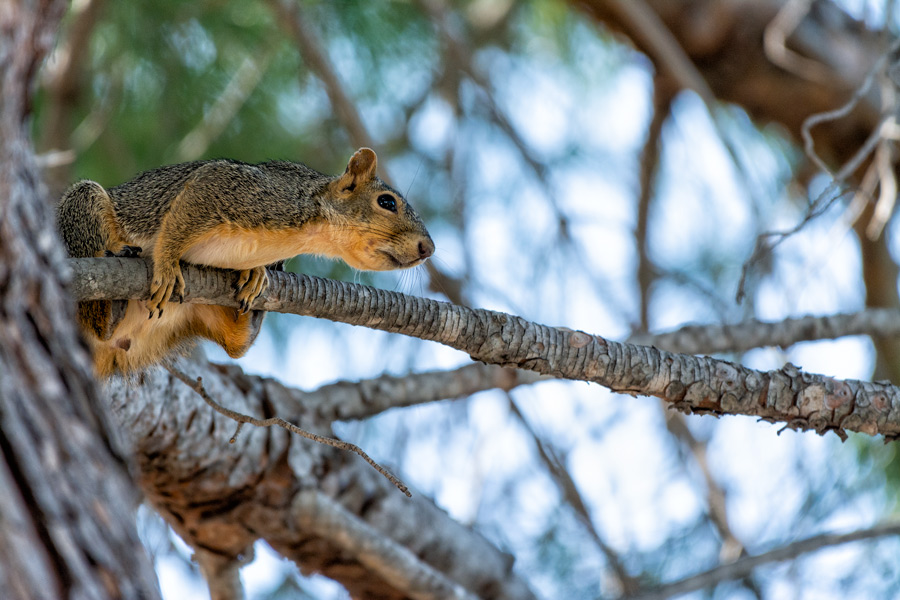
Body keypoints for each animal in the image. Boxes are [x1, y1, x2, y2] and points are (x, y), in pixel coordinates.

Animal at [57, 148, 436, 378]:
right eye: (387, 202)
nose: (428, 248)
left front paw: (255, 271)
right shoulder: (234, 189)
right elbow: (178, 223)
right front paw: (165, 264)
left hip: (191, 313)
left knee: (236, 344)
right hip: (82, 210)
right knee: (92, 316)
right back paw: (113, 297)